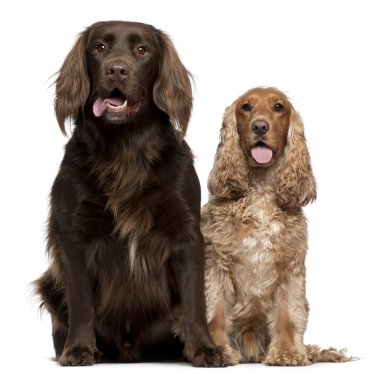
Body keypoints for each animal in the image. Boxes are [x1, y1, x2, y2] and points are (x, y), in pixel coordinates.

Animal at [35, 19, 229, 366]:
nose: (116, 70)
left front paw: (206, 350)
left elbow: (194, 301)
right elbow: (81, 302)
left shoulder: (186, 233)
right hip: (49, 284)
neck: (126, 150)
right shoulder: (73, 235)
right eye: (99, 47)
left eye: (142, 50)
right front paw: (79, 349)